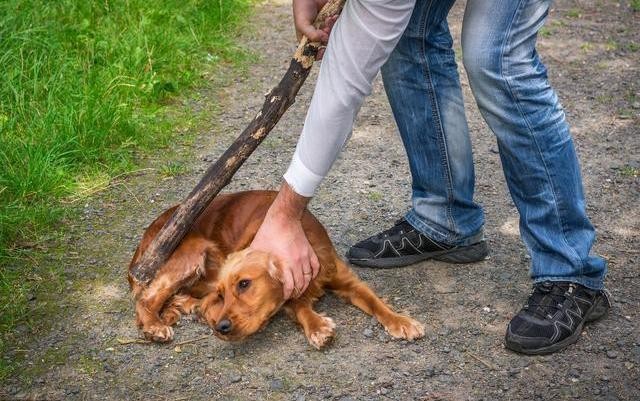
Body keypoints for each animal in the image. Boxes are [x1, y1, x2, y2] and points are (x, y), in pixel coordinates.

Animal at [128, 190, 424, 346]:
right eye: (223, 294)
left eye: (244, 284)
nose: (221, 327)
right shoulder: (290, 294)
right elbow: (301, 308)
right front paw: (318, 327)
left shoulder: (346, 279)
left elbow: (376, 302)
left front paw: (401, 321)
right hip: (192, 251)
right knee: (146, 298)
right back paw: (155, 325)